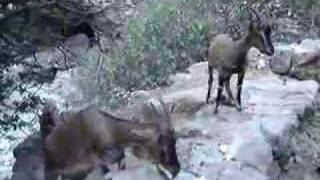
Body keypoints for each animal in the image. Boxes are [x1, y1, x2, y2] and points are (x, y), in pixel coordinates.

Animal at [42, 100, 180, 180]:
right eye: (162, 145)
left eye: (174, 142)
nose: (176, 169)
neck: (108, 128)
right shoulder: (98, 156)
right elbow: (117, 157)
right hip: (52, 172)